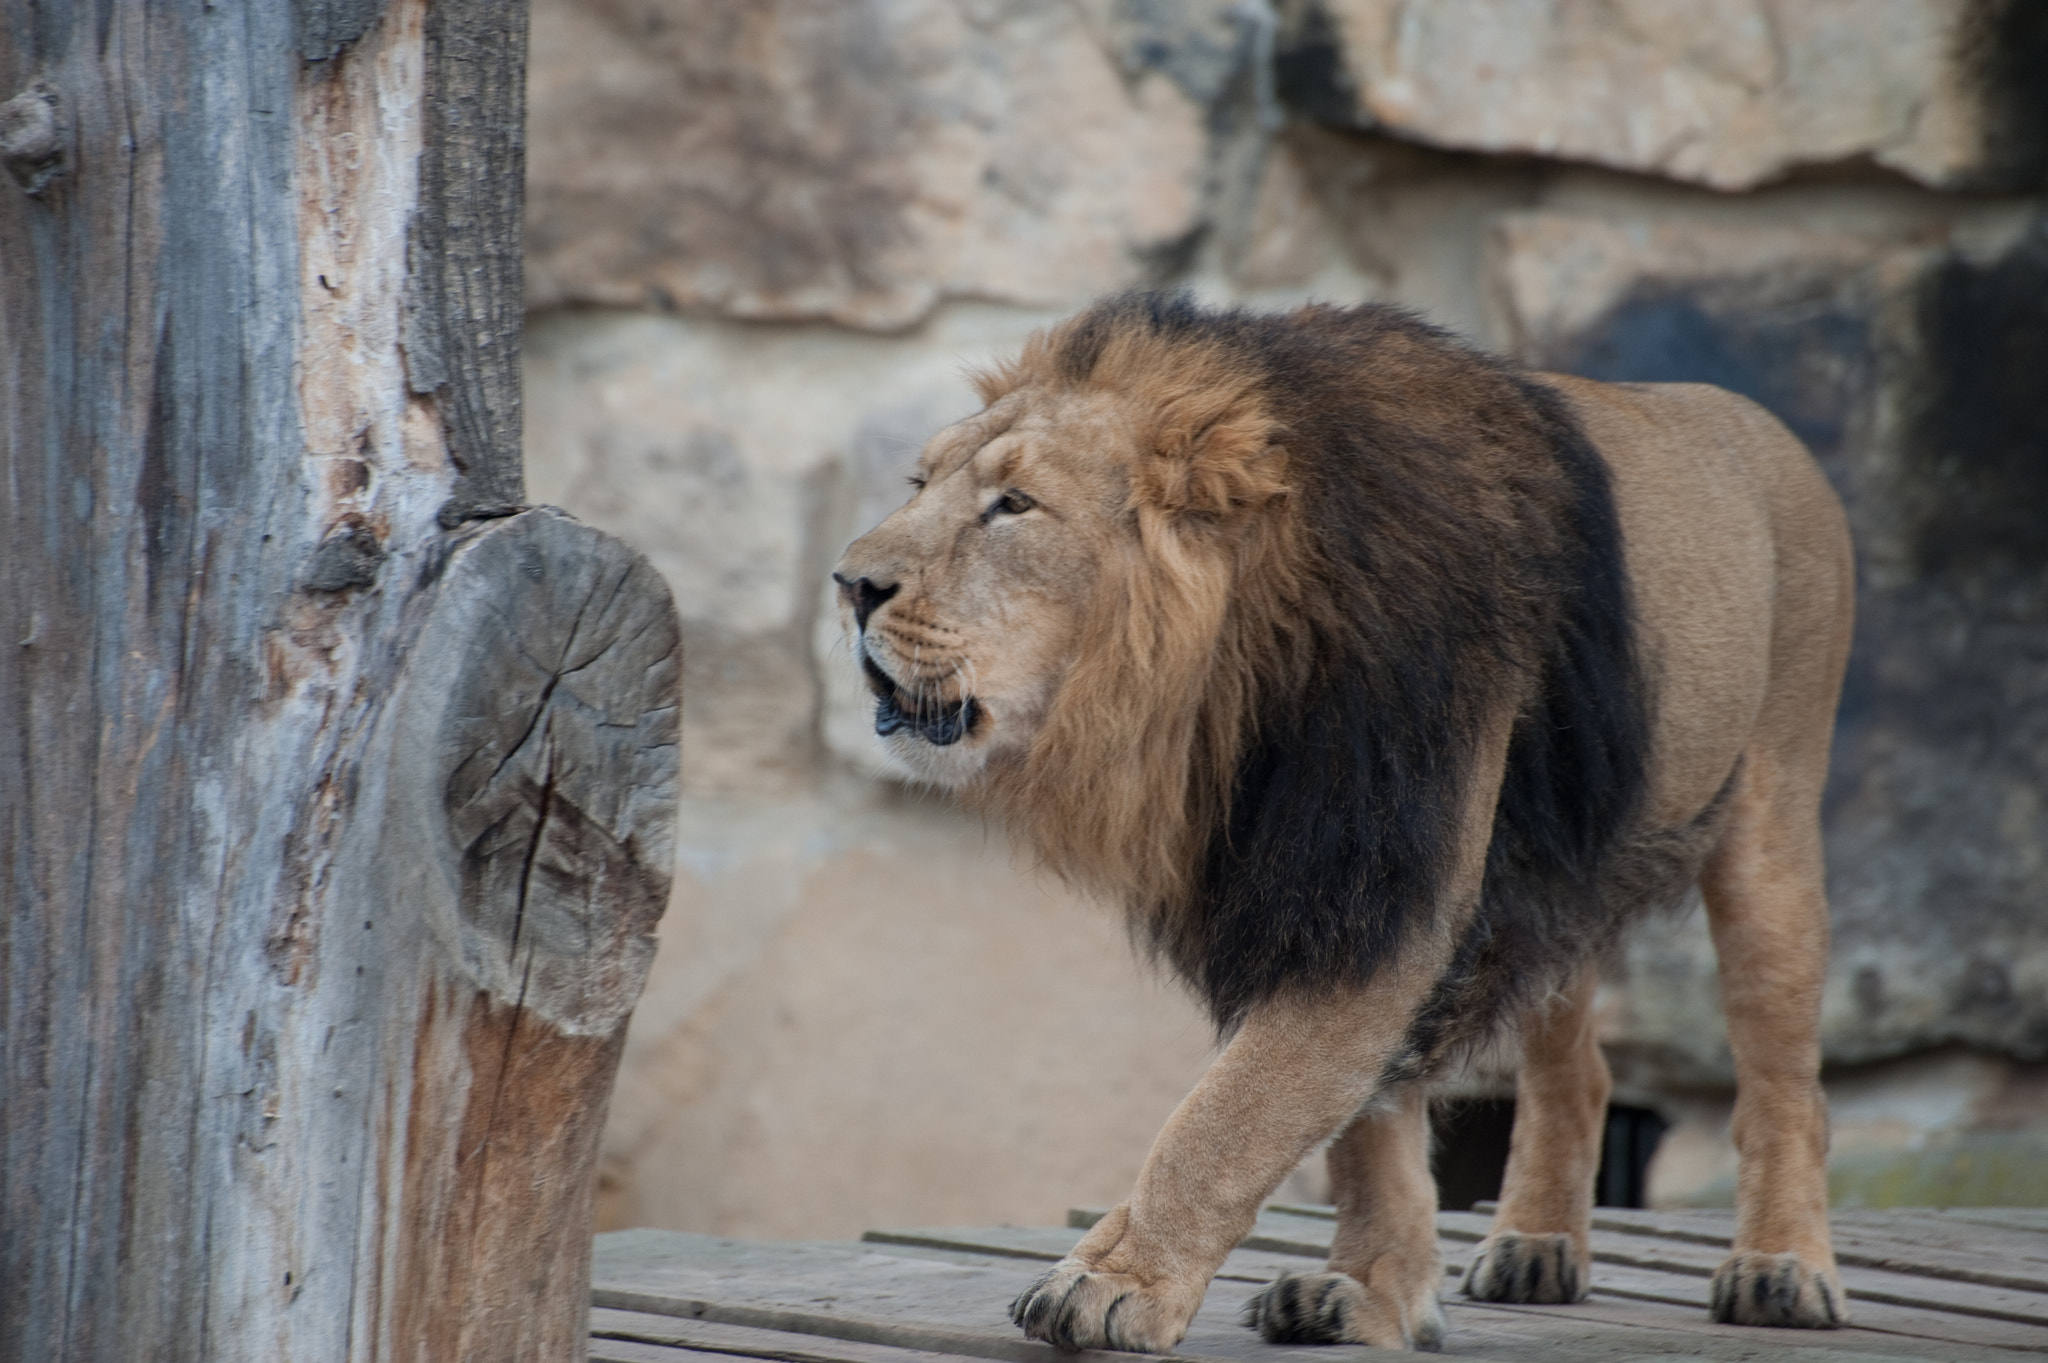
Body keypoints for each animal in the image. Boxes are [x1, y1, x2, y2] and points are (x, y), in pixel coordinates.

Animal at [832, 293, 1853, 1352]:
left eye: (1014, 505)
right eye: (920, 483)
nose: (849, 584)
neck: (1233, 678)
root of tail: (1756, 417)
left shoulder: (1389, 869)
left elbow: (1228, 1116)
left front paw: (1116, 1281)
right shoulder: (1319, 885)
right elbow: (1366, 1124)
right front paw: (1368, 1289)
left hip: (1773, 820)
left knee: (1784, 1072)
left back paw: (1781, 1267)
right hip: (1557, 876)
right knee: (1574, 1062)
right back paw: (1535, 1244)